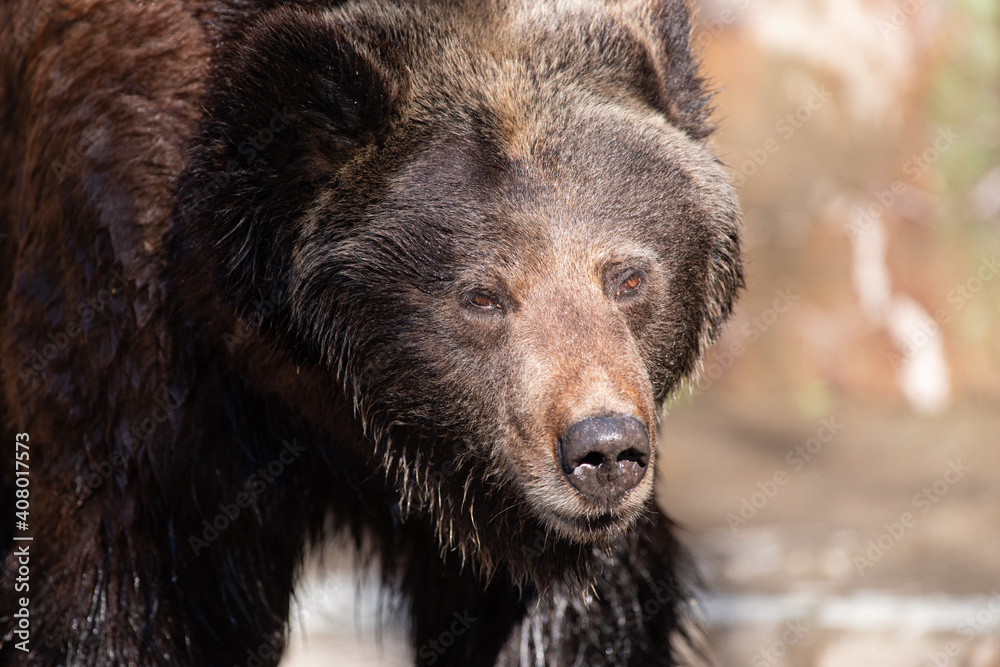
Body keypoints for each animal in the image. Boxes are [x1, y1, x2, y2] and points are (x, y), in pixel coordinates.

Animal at [0, 0, 744, 664]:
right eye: (483, 295)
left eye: (628, 277)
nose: (604, 447)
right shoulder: (136, 358)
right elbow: (119, 598)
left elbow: (566, 617)